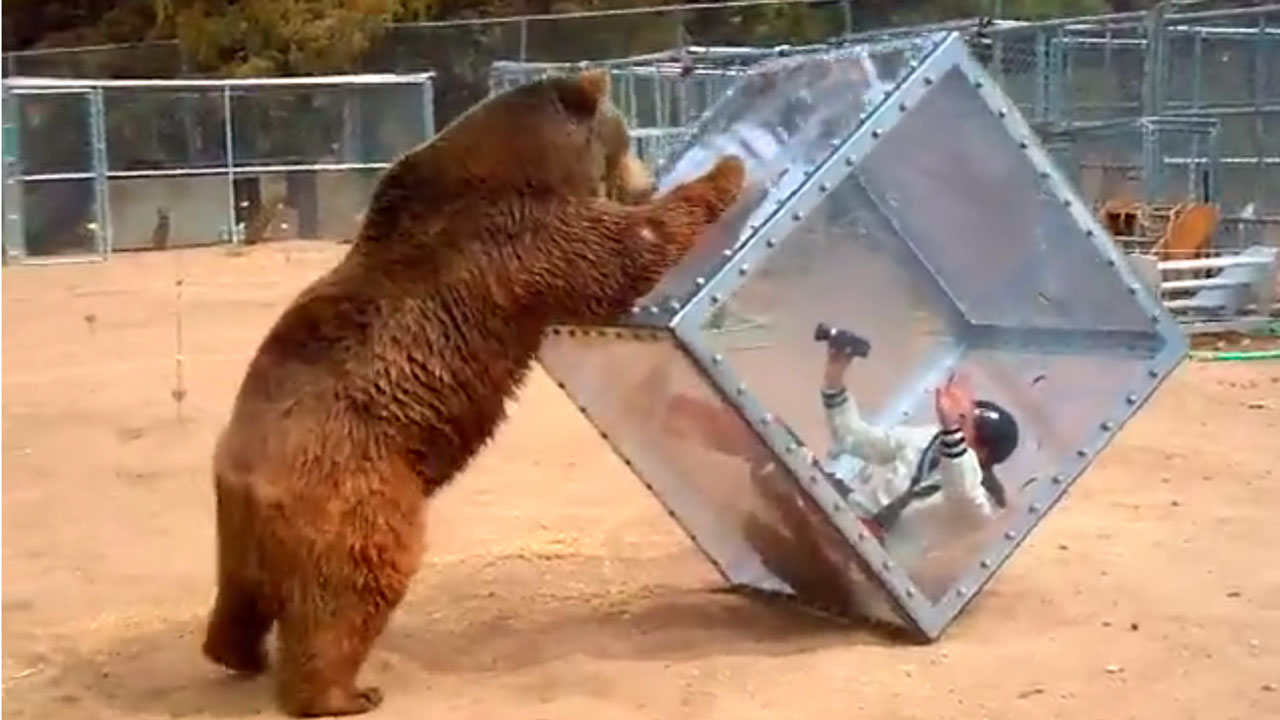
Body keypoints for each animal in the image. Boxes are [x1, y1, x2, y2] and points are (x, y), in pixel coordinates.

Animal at [200, 68, 746, 717]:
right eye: (626, 136)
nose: (645, 179)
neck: (527, 160)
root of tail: (247, 476)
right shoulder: (521, 241)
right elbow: (625, 251)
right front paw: (729, 170)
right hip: (355, 489)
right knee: (351, 587)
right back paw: (342, 691)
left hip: (240, 527)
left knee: (240, 594)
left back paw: (237, 654)